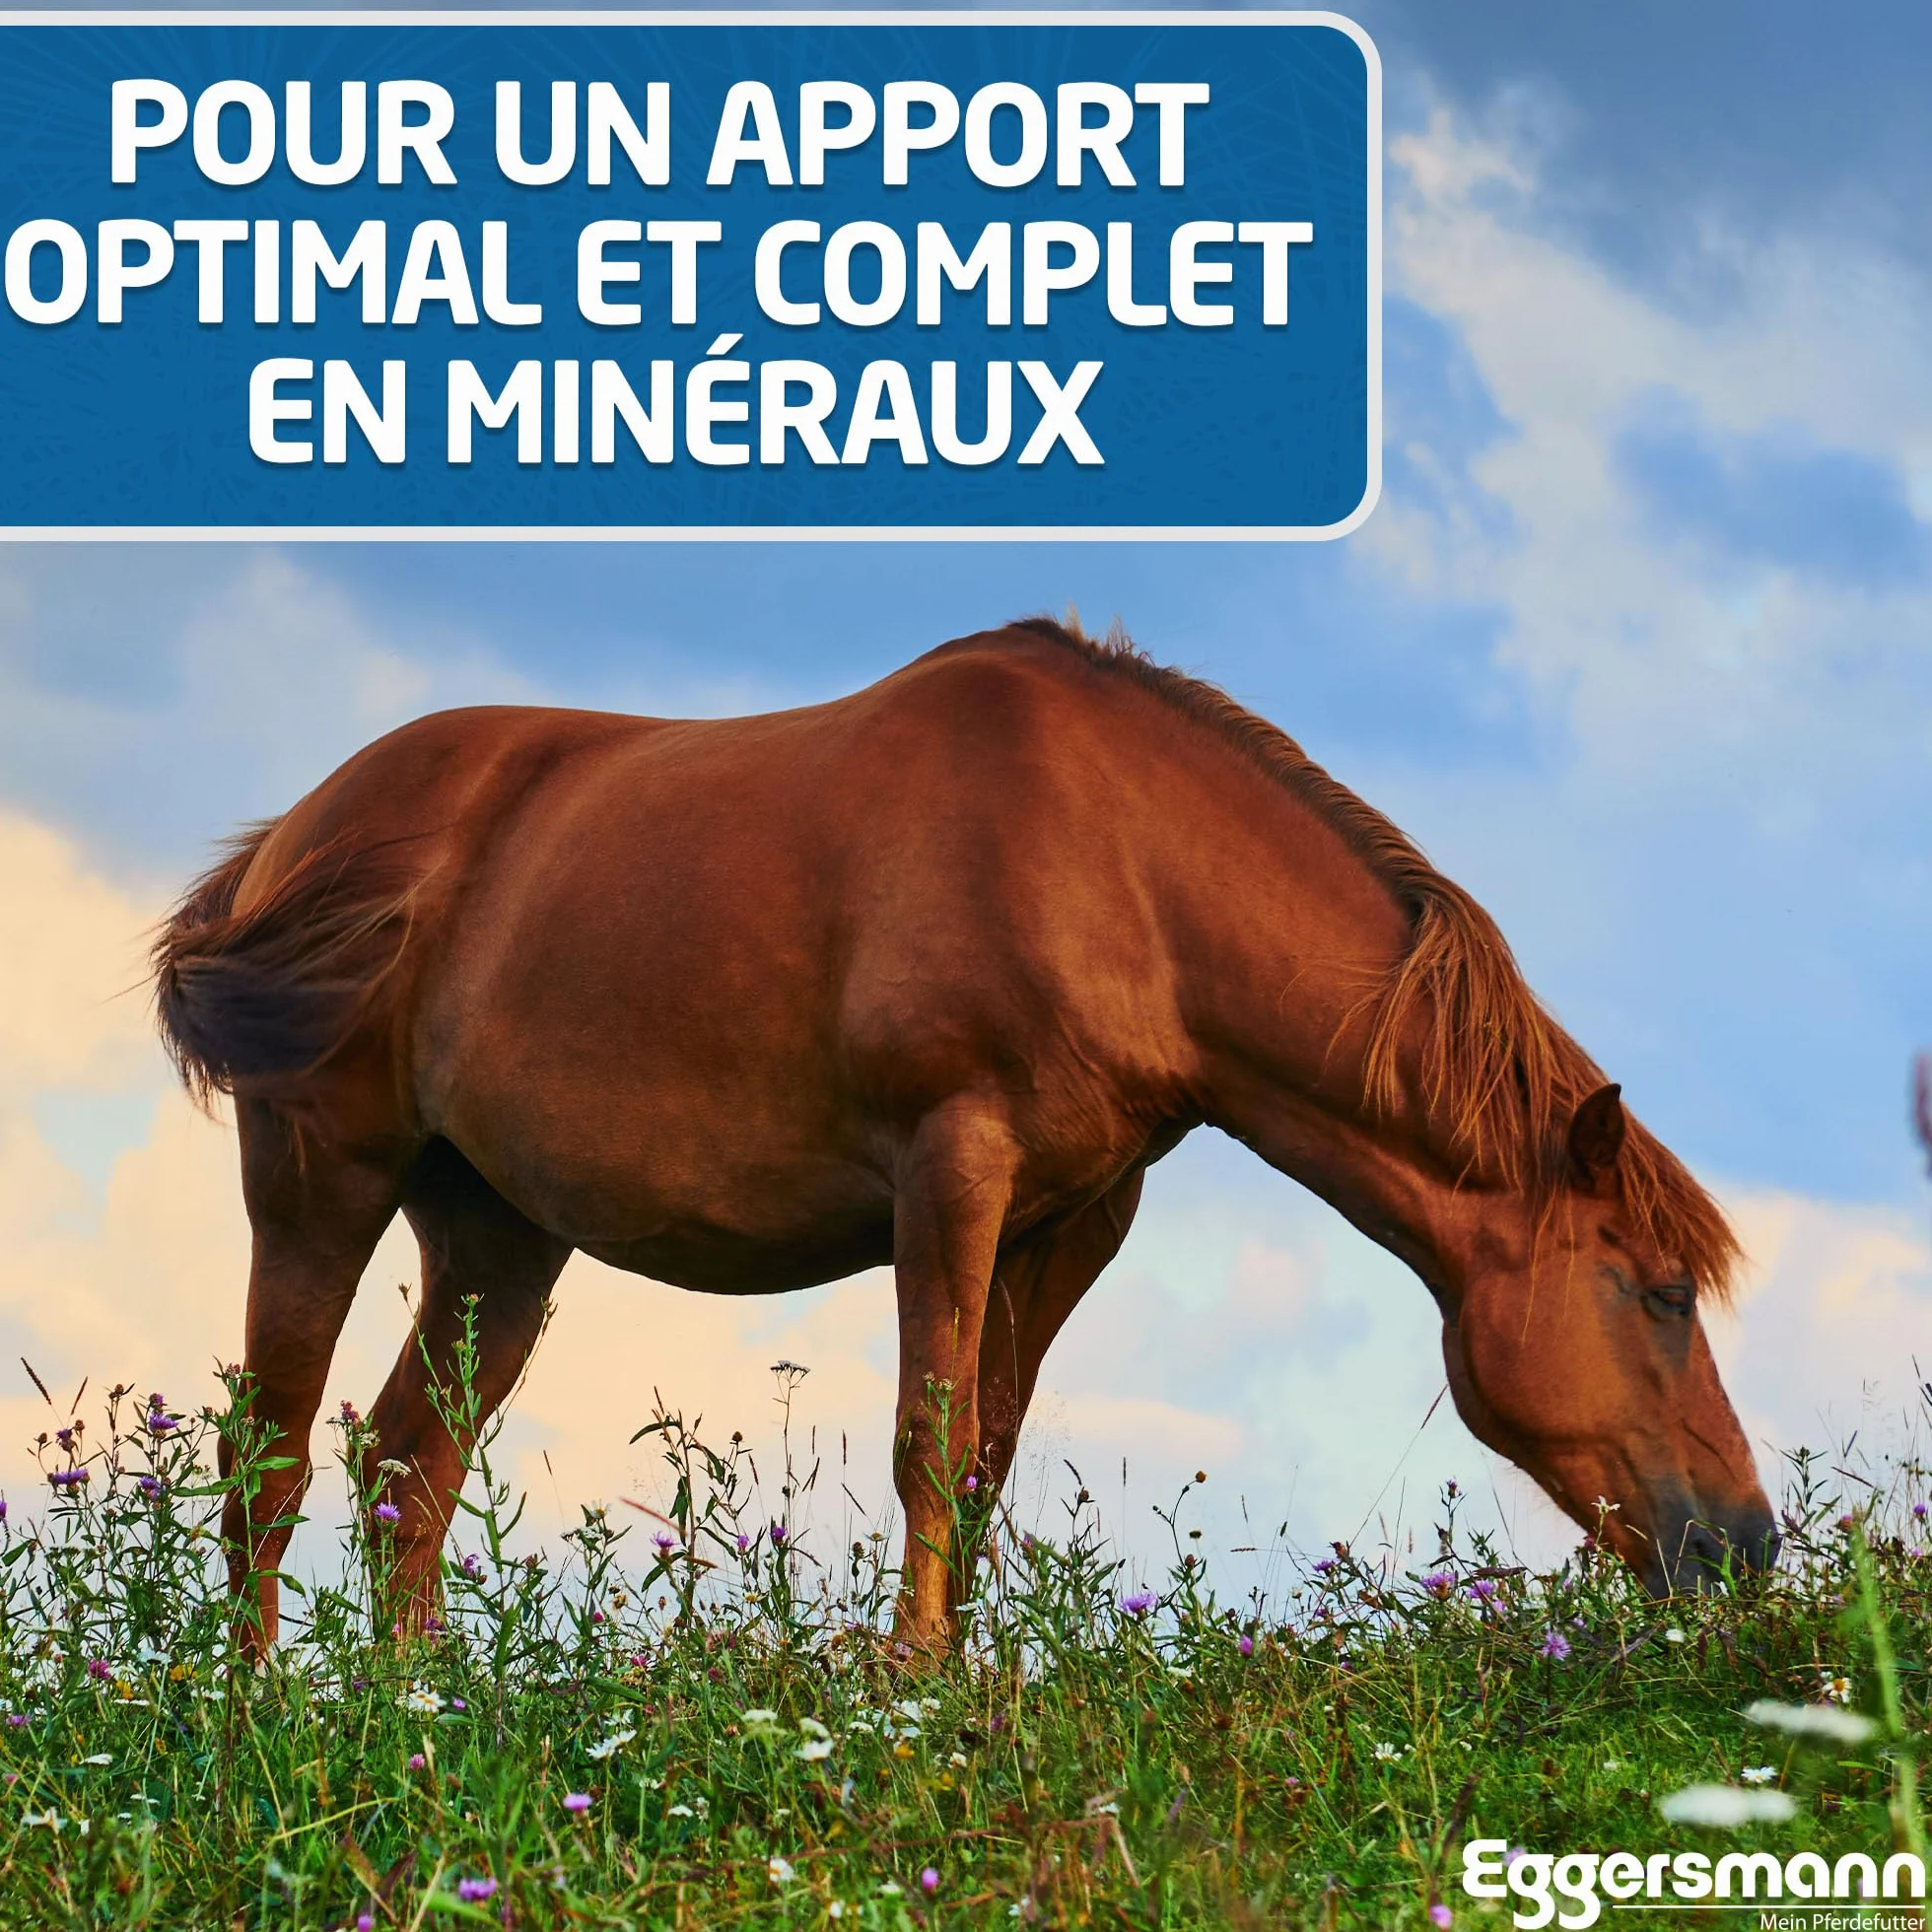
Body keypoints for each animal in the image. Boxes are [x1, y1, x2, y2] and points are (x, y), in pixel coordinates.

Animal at [151, 619, 1776, 1652]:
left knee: (403, 1479)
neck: (1121, 869)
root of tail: (293, 841)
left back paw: (417, 1728)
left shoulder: (1074, 1215)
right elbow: (928, 1440)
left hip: (498, 1235)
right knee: (267, 1460)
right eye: (1659, 1291)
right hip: (321, 1178)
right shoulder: (952, 1167)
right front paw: (910, 1689)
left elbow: (987, 1455)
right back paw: (255, 1730)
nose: (1747, 1543)